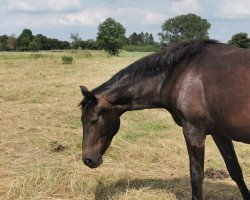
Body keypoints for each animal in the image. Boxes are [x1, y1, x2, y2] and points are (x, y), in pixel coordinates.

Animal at [80, 39, 250, 199]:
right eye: (82, 120)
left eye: (94, 120)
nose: (88, 160)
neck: (179, 73)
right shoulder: (219, 133)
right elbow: (235, 170)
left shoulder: (193, 131)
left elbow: (196, 177)